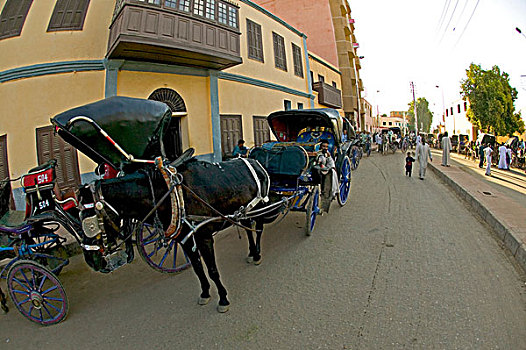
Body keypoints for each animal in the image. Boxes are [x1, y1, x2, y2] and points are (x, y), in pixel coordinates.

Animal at [79, 156, 276, 312]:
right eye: (78, 216)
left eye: (91, 224)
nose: (91, 261)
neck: (169, 193)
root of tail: (255, 162)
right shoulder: (184, 240)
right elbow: (197, 268)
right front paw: (205, 293)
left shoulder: (204, 237)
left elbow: (212, 270)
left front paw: (223, 299)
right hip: (244, 211)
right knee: (248, 229)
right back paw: (251, 252)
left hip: (259, 206)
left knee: (258, 228)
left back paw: (257, 254)